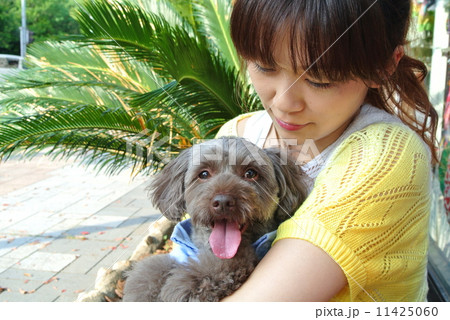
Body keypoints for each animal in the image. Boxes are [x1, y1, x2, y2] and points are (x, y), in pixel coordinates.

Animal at [124, 136, 306, 302]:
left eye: (250, 173)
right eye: (204, 174)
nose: (223, 202)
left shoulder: (233, 261)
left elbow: (220, 266)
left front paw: (179, 285)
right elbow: (150, 269)